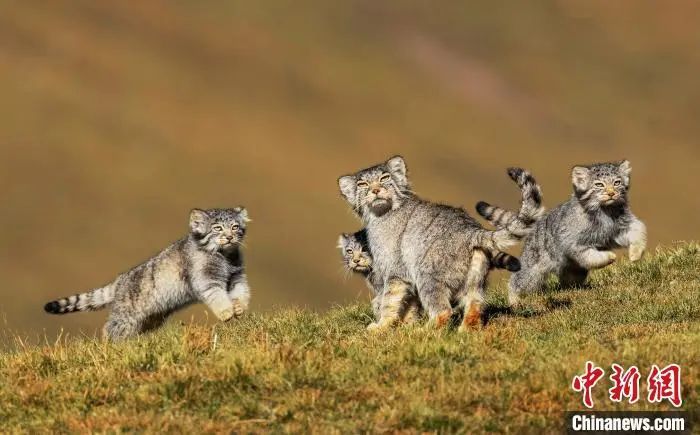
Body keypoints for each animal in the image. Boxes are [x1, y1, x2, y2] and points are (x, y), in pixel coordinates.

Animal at [43, 209, 252, 342]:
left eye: (235, 227)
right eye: (217, 228)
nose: (230, 237)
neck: (225, 257)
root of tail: (119, 281)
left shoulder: (236, 277)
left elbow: (241, 291)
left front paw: (239, 307)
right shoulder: (206, 278)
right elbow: (217, 295)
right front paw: (227, 312)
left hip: (150, 316)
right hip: (127, 315)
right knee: (110, 328)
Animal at [336, 157, 540, 330]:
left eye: (385, 177)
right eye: (362, 184)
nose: (376, 190)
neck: (381, 215)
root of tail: (471, 229)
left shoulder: (395, 271)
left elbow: (389, 302)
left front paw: (381, 328)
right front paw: (404, 325)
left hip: (428, 276)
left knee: (443, 311)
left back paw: (421, 333)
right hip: (474, 280)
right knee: (475, 305)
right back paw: (464, 331)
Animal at [500, 160, 648, 306]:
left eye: (617, 182)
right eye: (599, 184)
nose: (611, 193)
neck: (606, 212)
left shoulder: (621, 228)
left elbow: (638, 230)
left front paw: (635, 254)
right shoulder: (574, 244)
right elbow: (591, 256)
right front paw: (609, 256)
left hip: (572, 271)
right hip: (533, 271)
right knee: (517, 281)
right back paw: (513, 300)